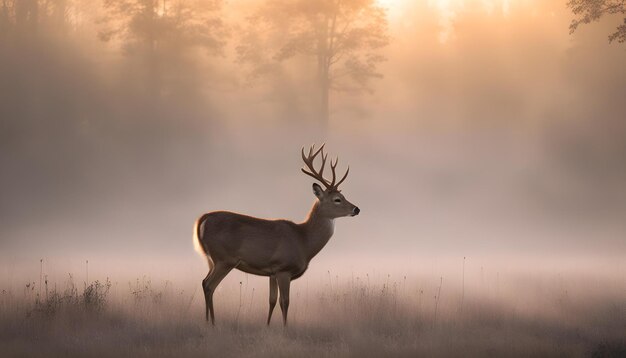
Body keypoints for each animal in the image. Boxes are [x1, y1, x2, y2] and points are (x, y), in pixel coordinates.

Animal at [195, 144, 358, 326]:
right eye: (337, 199)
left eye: (343, 196)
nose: (356, 209)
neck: (304, 241)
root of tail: (203, 219)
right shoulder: (283, 268)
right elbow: (285, 302)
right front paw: (285, 328)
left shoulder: (272, 272)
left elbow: (271, 301)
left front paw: (267, 326)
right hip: (224, 259)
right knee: (209, 285)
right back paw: (212, 323)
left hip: (211, 259)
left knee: (204, 282)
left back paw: (207, 321)